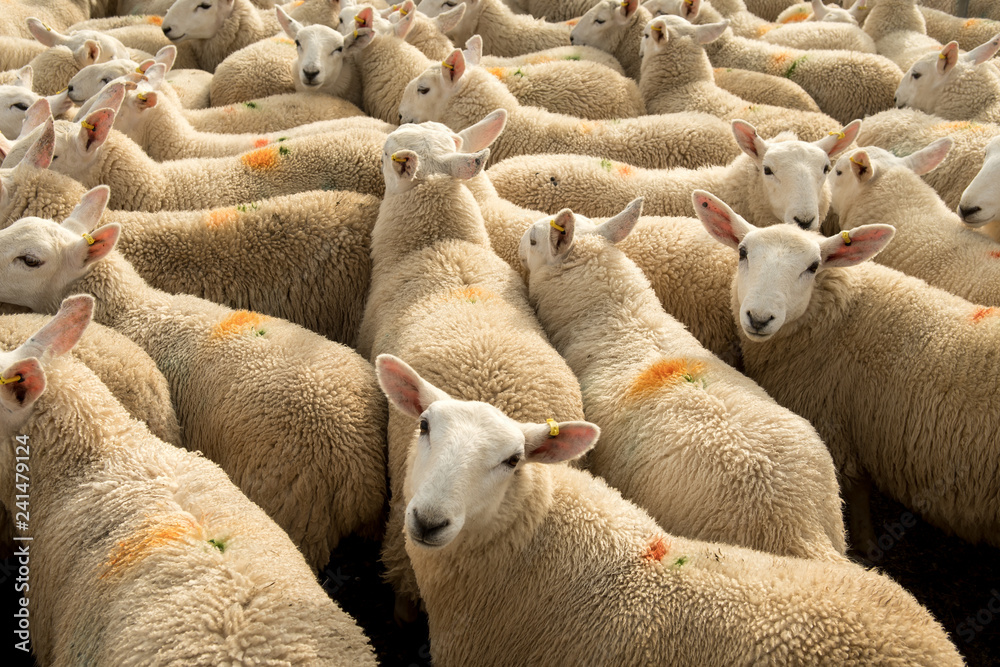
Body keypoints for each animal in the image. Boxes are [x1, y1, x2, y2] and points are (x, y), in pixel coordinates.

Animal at [694, 188, 1000, 551]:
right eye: (743, 253)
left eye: (813, 267)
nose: (759, 317)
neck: (839, 318)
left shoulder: (835, 424)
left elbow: (856, 491)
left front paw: (866, 541)